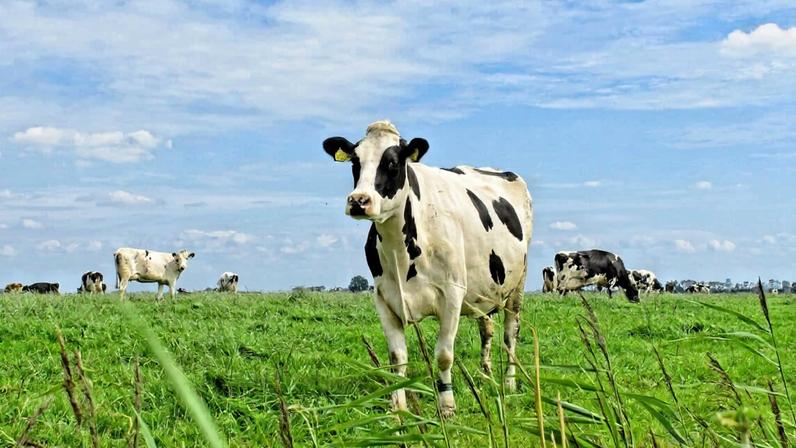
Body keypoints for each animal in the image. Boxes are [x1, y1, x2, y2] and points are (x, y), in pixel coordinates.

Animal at [323, 120, 533, 418]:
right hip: (485, 288)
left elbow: (444, 355)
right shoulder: (384, 297)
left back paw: (509, 383)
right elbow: (396, 357)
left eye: (393, 163)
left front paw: (447, 407)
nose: (359, 200)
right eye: (355, 161)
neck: (400, 251)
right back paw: (485, 376)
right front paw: (397, 407)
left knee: (510, 333)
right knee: (487, 328)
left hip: (517, 286)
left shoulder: (452, 294)